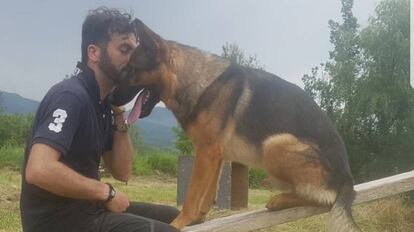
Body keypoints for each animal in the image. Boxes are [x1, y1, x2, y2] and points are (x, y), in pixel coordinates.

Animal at [108, 19, 360, 231]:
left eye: (131, 69)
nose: (109, 99)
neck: (196, 81)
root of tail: (347, 178)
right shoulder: (214, 155)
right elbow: (208, 191)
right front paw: (199, 219)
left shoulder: (207, 152)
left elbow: (192, 194)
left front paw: (180, 222)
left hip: (275, 144)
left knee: (321, 197)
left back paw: (279, 200)